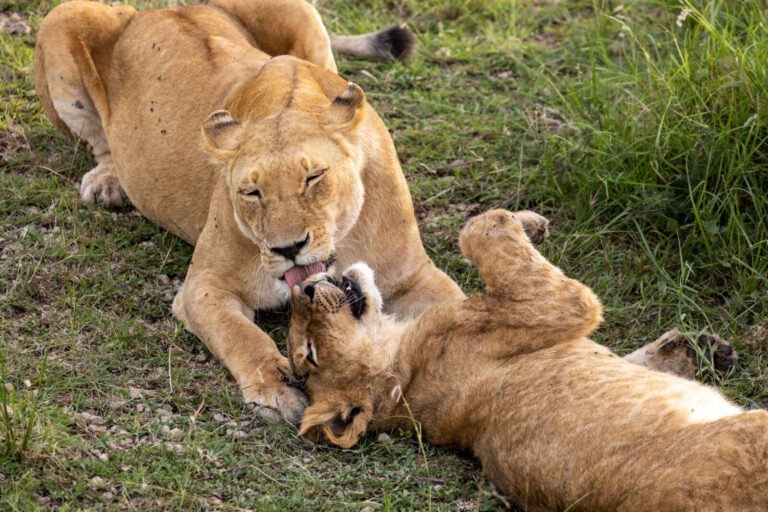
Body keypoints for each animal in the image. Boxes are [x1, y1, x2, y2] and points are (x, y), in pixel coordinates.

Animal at [33, 0, 460, 424]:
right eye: (252, 193)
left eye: (313, 177)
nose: (288, 249)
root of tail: (163, 8)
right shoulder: (203, 286)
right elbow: (242, 336)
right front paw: (277, 388)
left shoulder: (414, 278)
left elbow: (456, 317)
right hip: (61, 18)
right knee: (99, 143)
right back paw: (107, 183)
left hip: (301, 14)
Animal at [286, 210, 767, 512]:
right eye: (309, 353)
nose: (303, 288)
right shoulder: (553, 304)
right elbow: (481, 228)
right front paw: (522, 222)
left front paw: (697, 349)